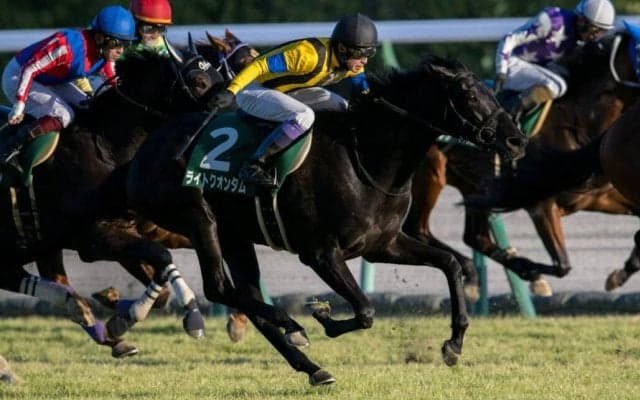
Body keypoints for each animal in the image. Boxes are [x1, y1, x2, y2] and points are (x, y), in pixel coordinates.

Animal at [0, 43, 223, 357]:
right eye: (199, 82)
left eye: (221, 76)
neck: (109, 147)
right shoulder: (92, 239)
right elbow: (161, 257)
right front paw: (190, 315)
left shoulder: (131, 229)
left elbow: (162, 276)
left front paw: (121, 310)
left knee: (37, 279)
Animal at [125, 54, 527, 384]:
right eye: (468, 94)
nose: (517, 140)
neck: (367, 161)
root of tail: (150, 147)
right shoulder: (320, 253)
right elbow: (365, 310)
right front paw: (323, 316)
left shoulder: (383, 244)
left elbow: (449, 263)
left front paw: (454, 343)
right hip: (199, 219)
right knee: (220, 288)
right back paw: (292, 324)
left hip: (235, 236)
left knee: (245, 295)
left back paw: (311, 366)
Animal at [404, 31, 640, 295]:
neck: (577, 123)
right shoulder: (541, 205)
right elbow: (562, 265)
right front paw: (535, 276)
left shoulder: (601, 195)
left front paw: (620, 273)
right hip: (431, 174)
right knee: (418, 228)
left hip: (471, 184)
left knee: (475, 237)